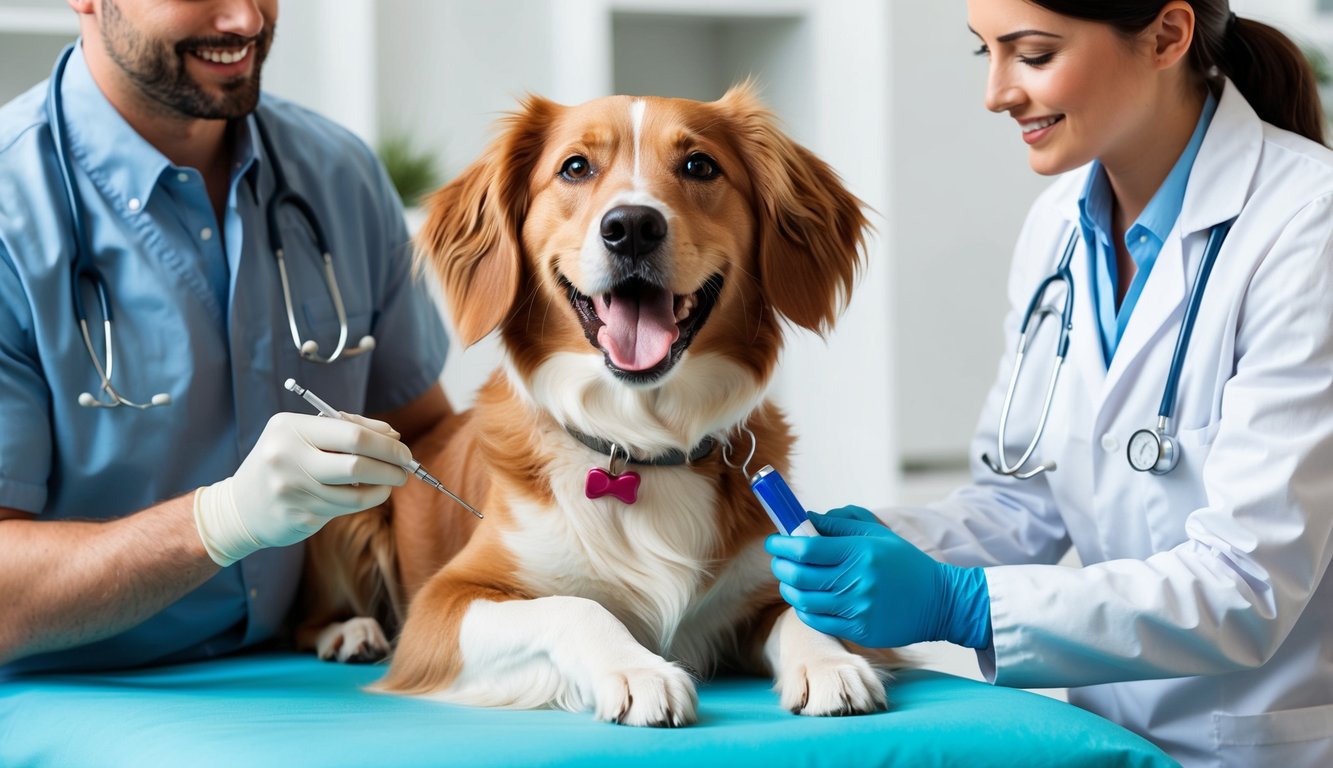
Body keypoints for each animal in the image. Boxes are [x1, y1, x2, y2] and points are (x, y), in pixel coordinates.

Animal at [297, 84, 890, 725]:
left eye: (699, 165)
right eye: (575, 168)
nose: (631, 226)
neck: (638, 441)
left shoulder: (761, 581)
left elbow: (799, 612)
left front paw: (829, 662)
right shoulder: (445, 602)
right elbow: (574, 606)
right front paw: (637, 670)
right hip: (356, 488)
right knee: (306, 621)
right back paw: (350, 632)